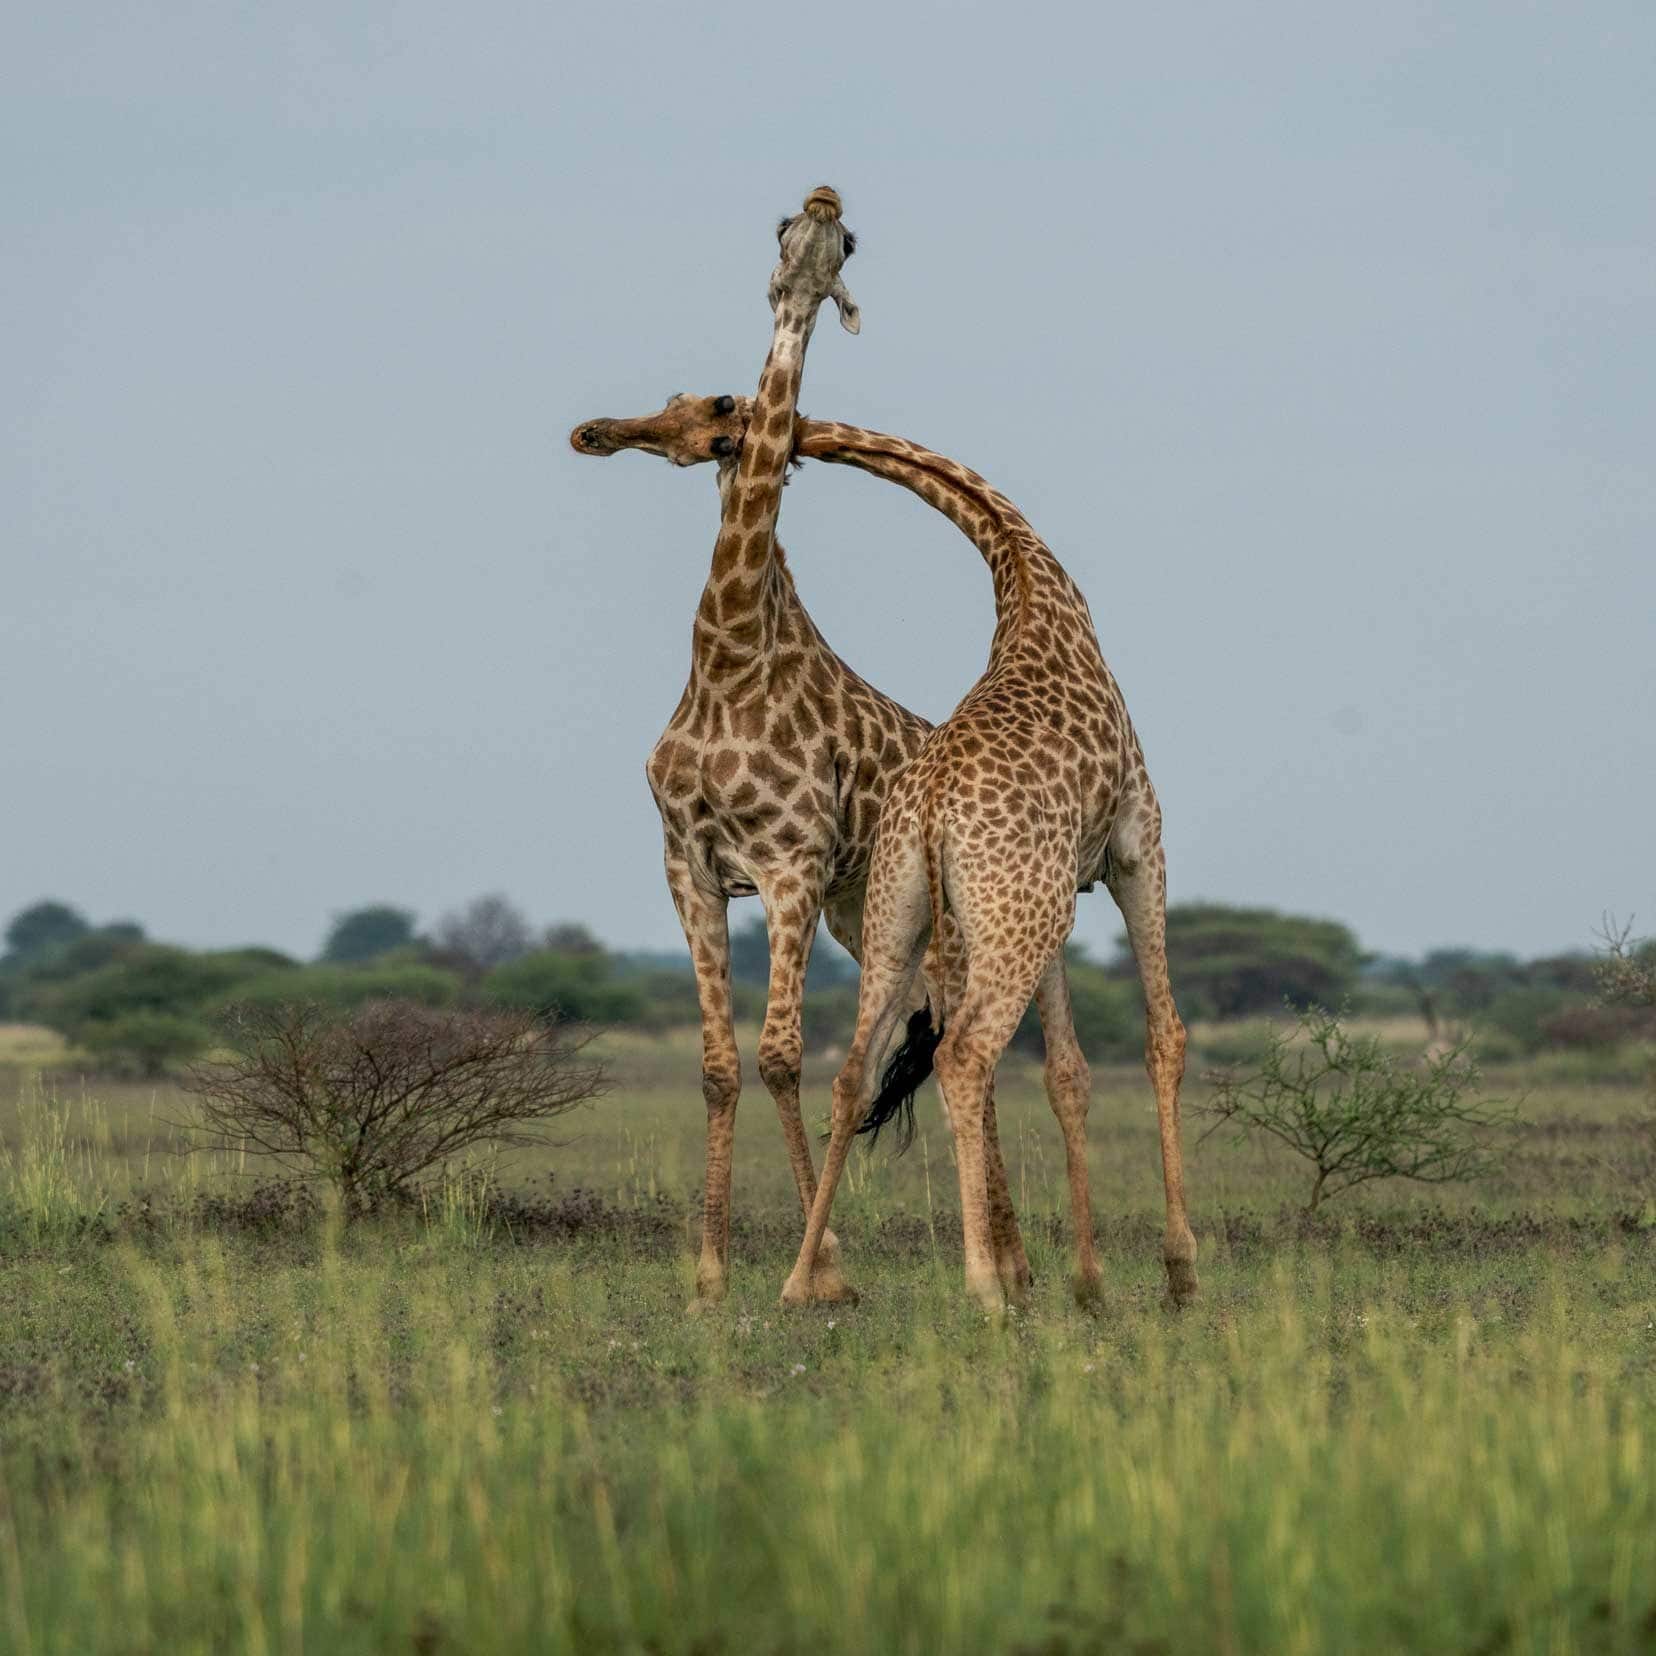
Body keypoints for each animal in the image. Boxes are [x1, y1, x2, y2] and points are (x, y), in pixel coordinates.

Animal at [758, 427, 1198, 1318]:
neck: (1025, 573)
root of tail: (928, 810)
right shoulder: (1139, 845)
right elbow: (1162, 1036)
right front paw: (1180, 1270)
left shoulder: (1060, 892)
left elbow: (1068, 1073)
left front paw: (1090, 1282)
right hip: (1005, 916)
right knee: (963, 1058)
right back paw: (985, 1288)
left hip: (905, 914)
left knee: (852, 1074)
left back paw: (799, 1279)